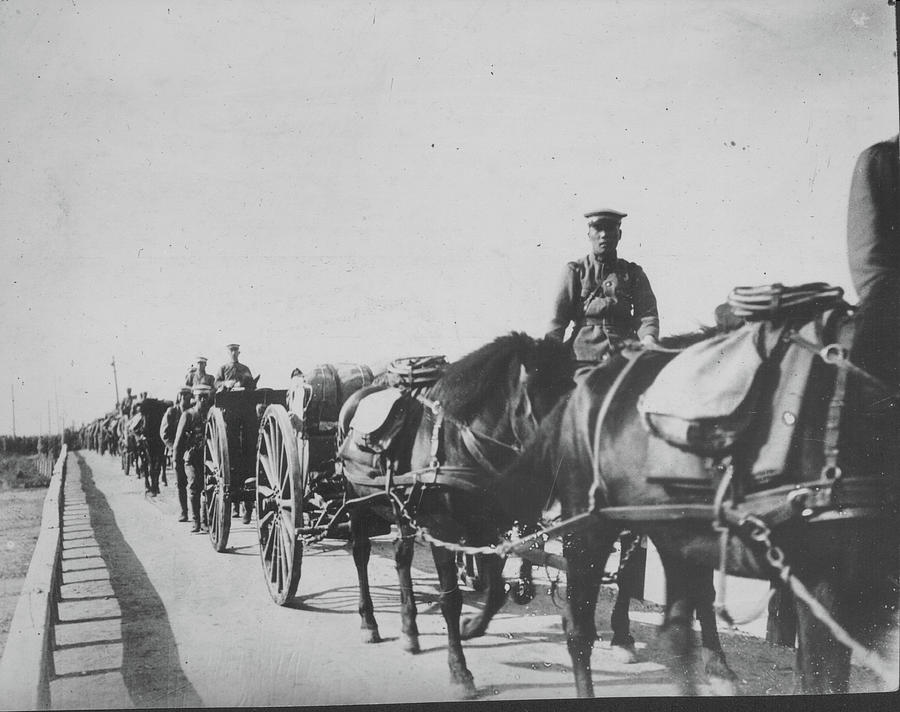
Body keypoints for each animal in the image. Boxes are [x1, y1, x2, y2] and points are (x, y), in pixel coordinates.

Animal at [342, 332, 572, 696]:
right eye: (540, 395)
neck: (459, 444)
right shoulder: (442, 532)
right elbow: (450, 601)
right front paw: (459, 670)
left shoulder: (488, 529)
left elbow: (495, 591)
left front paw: (473, 626)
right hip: (357, 504)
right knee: (361, 554)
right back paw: (369, 621)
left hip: (402, 511)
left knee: (402, 558)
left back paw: (410, 630)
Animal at [500, 302, 900, 696]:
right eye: (526, 402)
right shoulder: (826, 588)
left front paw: (715, 666)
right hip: (589, 530)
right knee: (578, 630)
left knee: (675, 628)